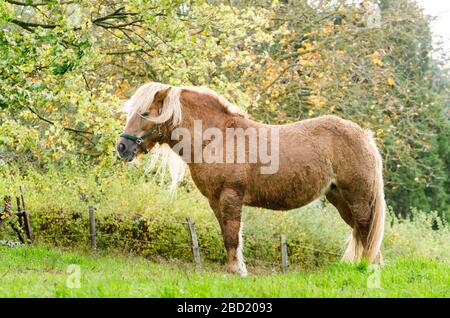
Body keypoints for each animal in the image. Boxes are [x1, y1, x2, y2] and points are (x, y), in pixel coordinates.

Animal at [117, 82, 386, 276]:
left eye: (145, 114)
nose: (122, 147)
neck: (216, 138)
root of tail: (365, 136)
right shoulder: (216, 201)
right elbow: (227, 235)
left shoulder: (231, 196)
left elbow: (232, 235)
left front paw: (237, 271)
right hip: (340, 200)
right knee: (365, 235)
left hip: (358, 200)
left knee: (366, 232)